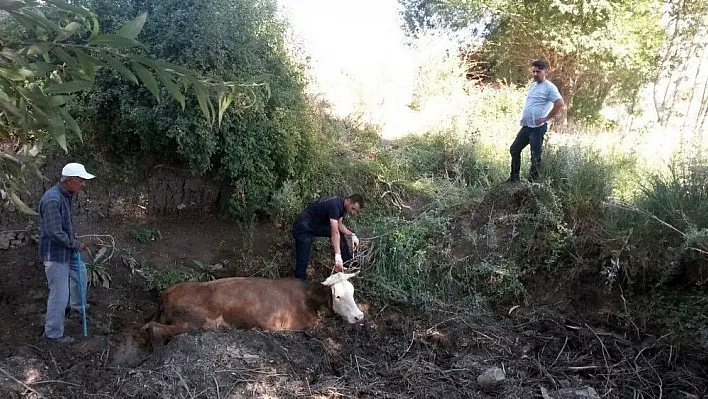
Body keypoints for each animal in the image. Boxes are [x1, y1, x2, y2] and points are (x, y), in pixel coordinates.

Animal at [144, 274, 366, 346]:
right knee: (154, 328)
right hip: (194, 322)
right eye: (338, 296)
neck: (307, 298)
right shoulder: (293, 325)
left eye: (353, 292)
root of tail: (169, 291)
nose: (359, 316)